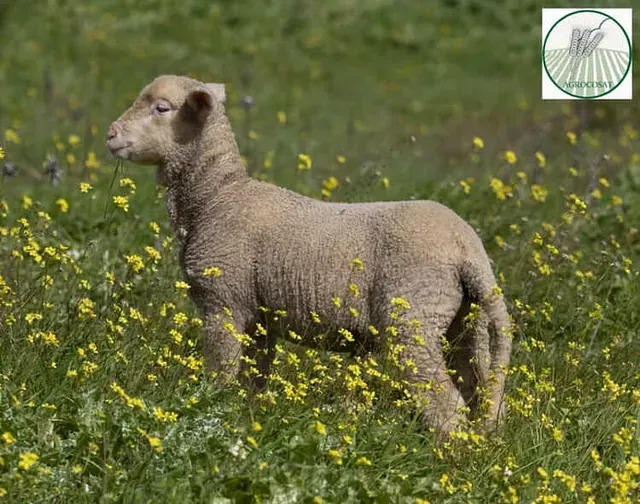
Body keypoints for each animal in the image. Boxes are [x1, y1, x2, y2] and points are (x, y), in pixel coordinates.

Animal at [106, 75, 513, 435]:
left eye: (162, 108)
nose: (110, 134)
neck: (219, 198)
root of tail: (468, 250)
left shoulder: (223, 303)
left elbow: (221, 375)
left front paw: (209, 409)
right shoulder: (259, 319)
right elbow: (253, 383)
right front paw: (246, 422)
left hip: (413, 317)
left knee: (447, 405)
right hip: (465, 321)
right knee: (476, 393)